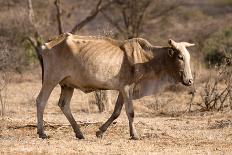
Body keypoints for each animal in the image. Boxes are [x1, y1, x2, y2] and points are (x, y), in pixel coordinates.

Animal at [36, 33, 195, 140]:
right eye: (180, 57)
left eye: (188, 57)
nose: (189, 81)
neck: (146, 58)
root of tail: (47, 44)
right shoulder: (127, 88)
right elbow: (130, 112)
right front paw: (134, 135)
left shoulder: (122, 90)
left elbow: (116, 112)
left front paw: (100, 131)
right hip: (51, 79)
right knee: (41, 101)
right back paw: (42, 132)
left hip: (67, 85)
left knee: (64, 105)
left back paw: (79, 133)